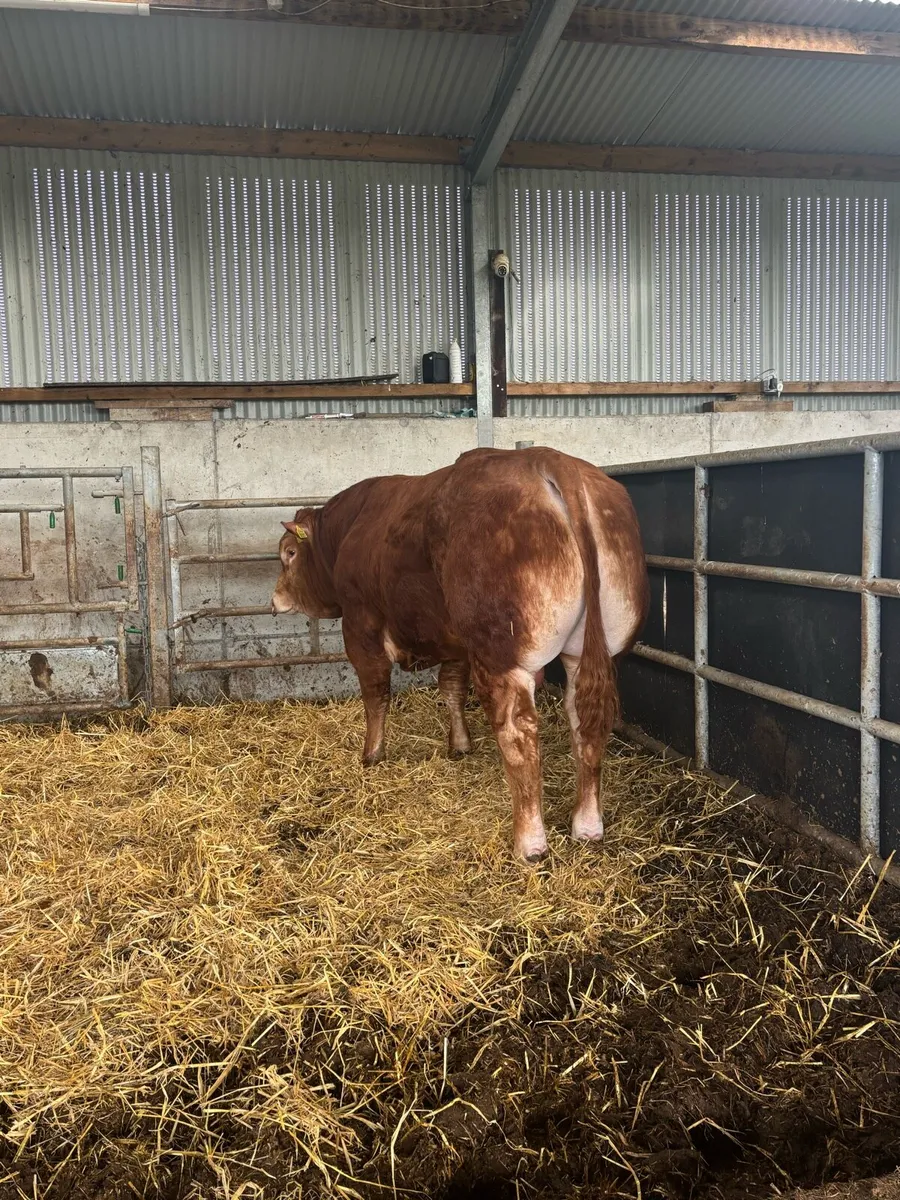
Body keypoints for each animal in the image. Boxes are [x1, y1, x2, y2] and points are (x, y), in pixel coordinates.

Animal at [271, 446, 648, 863]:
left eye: (289, 553)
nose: (274, 600)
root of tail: (545, 457)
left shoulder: (360, 625)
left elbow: (376, 693)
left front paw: (372, 754)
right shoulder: (454, 642)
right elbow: (451, 688)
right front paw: (461, 745)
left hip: (501, 654)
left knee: (518, 733)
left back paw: (529, 842)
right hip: (591, 651)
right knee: (586, 721)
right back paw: (587, 825)